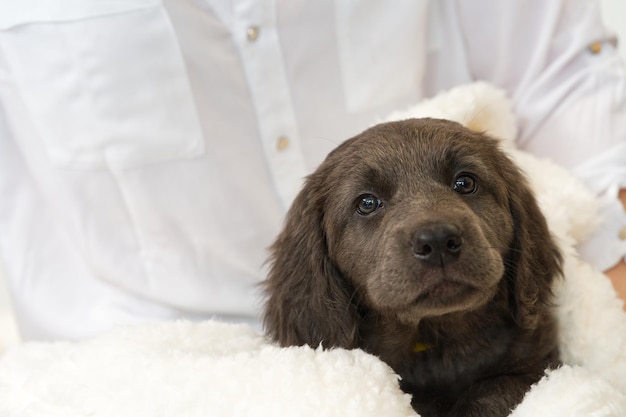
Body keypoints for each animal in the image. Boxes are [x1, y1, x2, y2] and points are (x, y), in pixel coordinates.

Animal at [260, 118, 560, 416]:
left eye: (465, 183)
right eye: (367, 203)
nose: (437, 241)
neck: (435, 340)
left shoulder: (539, 363)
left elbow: (495, 390)